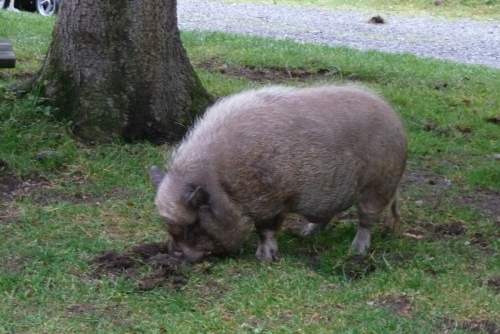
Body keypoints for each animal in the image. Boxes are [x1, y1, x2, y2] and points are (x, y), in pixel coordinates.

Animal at [150, 85, 408, 264]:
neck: (222, 185)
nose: (174, 255)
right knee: (327, 215)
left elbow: (266, 230)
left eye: (193, 225)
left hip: (380, 185)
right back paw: (305, 234)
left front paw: (264, 259)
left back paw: (357, 250)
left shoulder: (273, 202)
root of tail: (396, 120)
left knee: (366, 220)